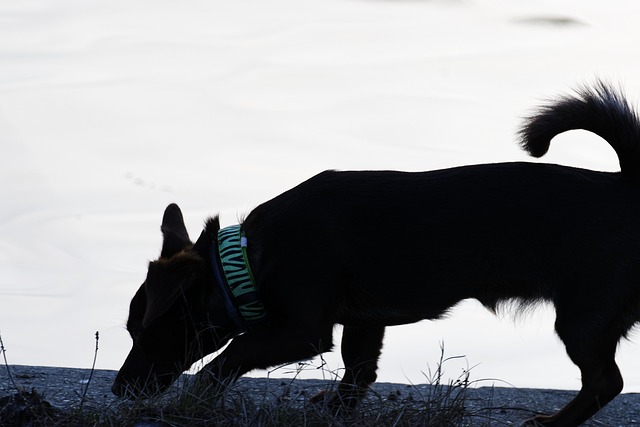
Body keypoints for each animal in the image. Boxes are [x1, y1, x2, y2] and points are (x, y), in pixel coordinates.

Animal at [114, 82, 640, 426]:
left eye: (146, 330)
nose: (118, 389)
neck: (247, 261)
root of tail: (626, 188)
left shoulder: (301, 331)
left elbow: (231, 355)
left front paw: (193, 401)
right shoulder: (363, 321)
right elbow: (358, 367)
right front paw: (340, 409)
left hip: (583, 318)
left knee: (605, 382)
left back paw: (554, 424)